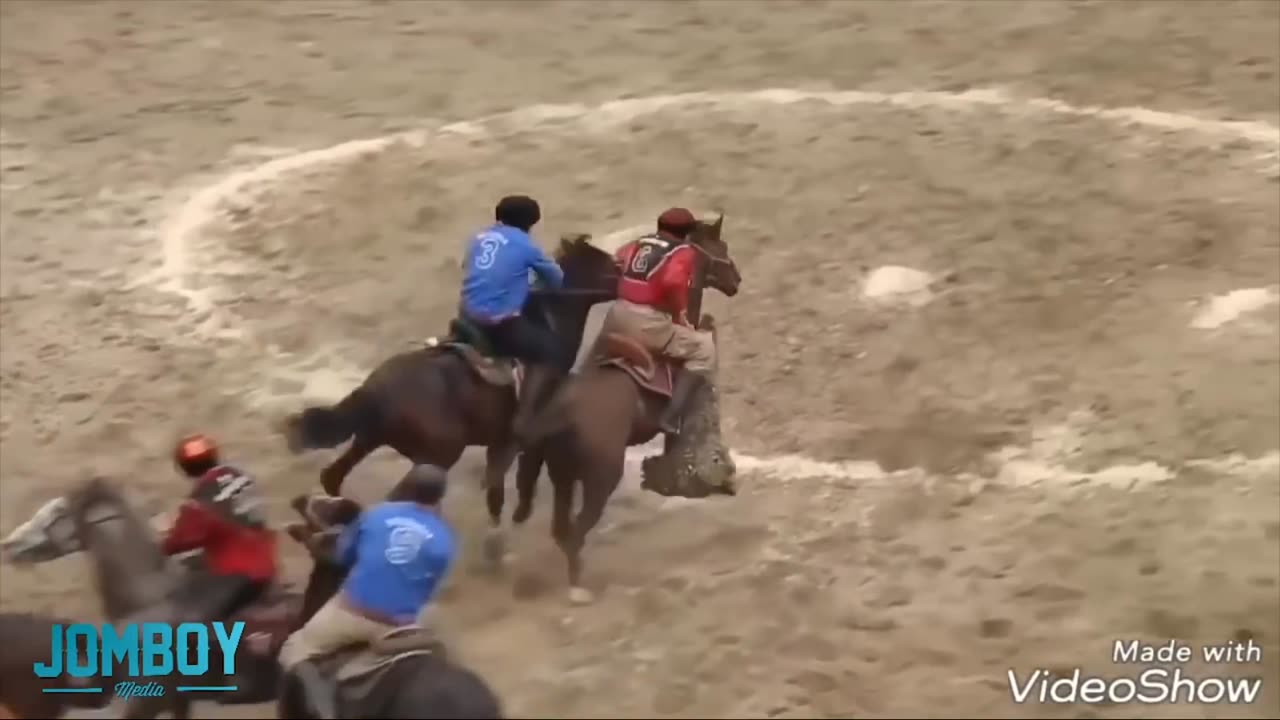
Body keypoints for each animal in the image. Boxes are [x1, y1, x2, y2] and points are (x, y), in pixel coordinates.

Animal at [491, 212, 747, 599]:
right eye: (722, 247)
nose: (736, 280)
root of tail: (562, 415)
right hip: (600, 479)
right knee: (576, 530)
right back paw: (579, 587)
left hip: (563, 476)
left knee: (561, 527)